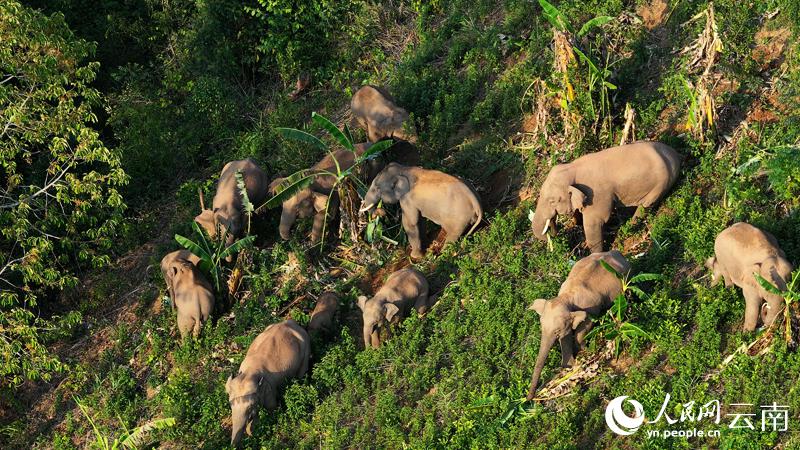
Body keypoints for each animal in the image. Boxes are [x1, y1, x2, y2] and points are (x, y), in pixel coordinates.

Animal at [524, 250, 632, 400]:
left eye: (557, 331)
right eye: (541, 327)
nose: (529, 399)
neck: (566, 297)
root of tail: (616, 252)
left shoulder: (591, 308)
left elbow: (584, 326)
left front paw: (583, 353)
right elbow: (567, 337)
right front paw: (569, 366)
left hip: (626, 279)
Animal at [528, 141, 680, 253]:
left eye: (553, 201)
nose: (554, 231)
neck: (572, 168)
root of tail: (676, 155)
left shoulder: (597, 195)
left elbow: (594, 223)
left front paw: (595, 255)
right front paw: (576, 222)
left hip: (660, 185)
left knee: (646, 206)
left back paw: (629, 226)